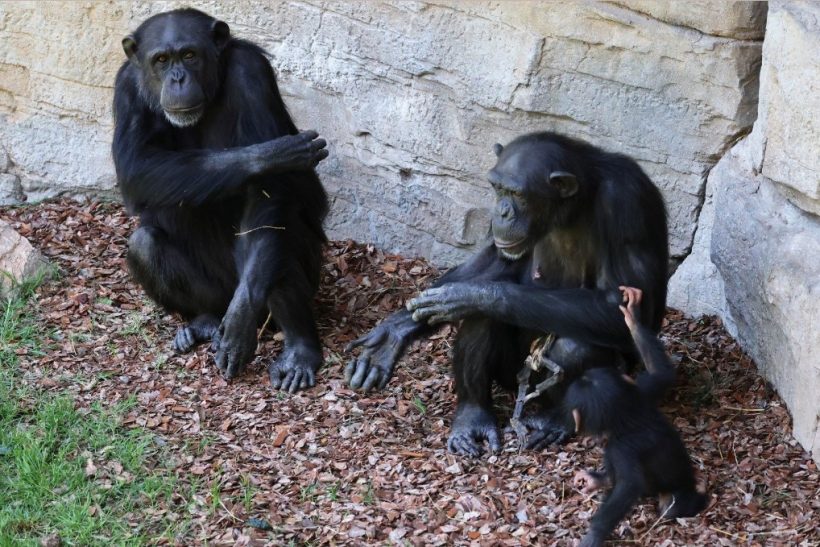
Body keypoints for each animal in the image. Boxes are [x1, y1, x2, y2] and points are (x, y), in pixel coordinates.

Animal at [113, 9, 330, 394]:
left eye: (189, 55)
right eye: (161, 60)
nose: (178, 78)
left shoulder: (251, 72)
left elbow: (269, 195)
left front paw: (241, 319)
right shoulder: (125, 88)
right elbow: (135, 165)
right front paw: (269, 155)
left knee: (276, 238)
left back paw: (298, 350)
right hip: (216, 291)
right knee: (144, 242)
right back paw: (203, 321)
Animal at [342, 132, 668, 454]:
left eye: (518, 194)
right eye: (497, 188)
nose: (501, 211)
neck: (574, 205)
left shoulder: (629, 203)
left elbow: (625, 306)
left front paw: (472, 296)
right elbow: (495, 258)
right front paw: (397, 328)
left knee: (575, 345)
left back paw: (554, 420)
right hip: (510, 375)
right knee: (481, 321)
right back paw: (472, 417)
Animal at [568, 288, 708, 544]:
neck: (626, 414)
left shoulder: (621, 449)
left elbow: (628, 487)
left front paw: (593, 535)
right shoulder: (643, 391)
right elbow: (661, 373)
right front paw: (632, 318)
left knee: (669, 507)